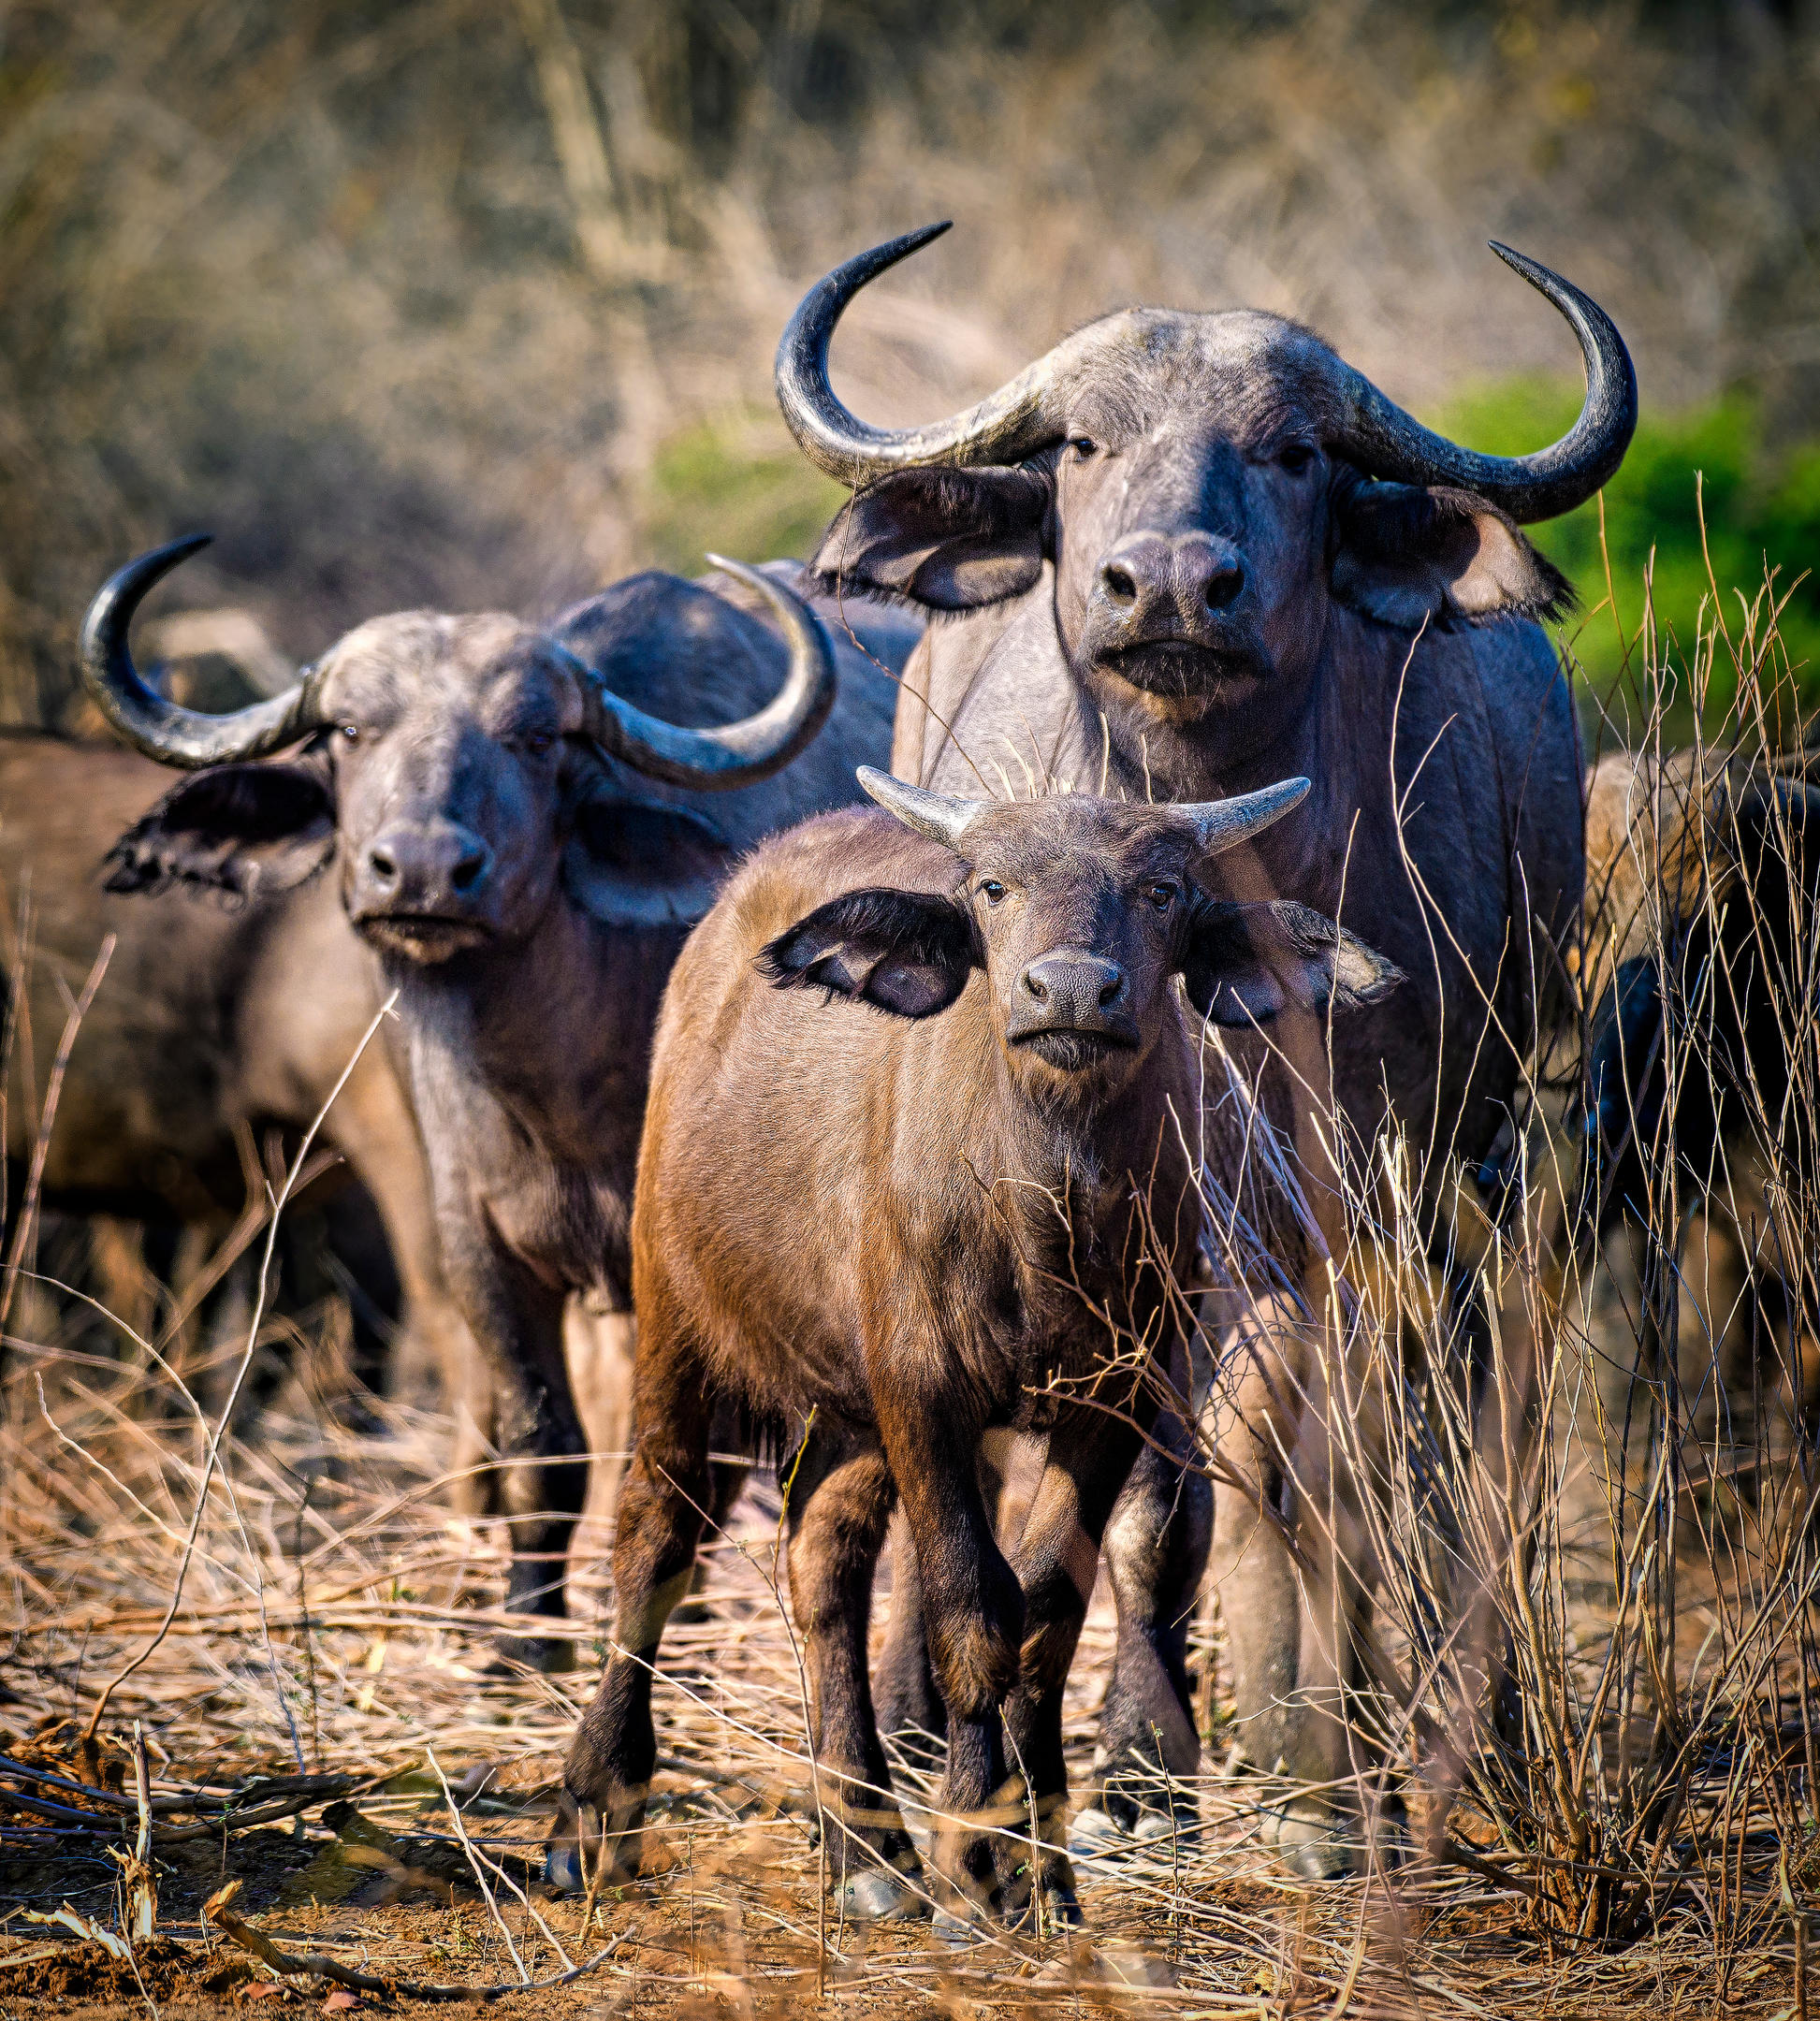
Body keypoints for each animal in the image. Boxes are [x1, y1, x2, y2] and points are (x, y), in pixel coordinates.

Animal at [80, 540, 910, 1663]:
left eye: (532, 737)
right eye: (350, 730)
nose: (424, 870)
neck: (562, 1081)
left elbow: (687, 1466)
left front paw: (672, 1640)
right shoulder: (473, 1237)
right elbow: (542, 1441)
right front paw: (526, 1630)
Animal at [551, 768, 1396, 1922]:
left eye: (1162, 889)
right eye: (994, 887)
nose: (1070, 991)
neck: (1044, 1217)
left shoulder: (1112, 1401)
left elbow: (1043, 1610)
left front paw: (1034, 1864)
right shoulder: (924, 1391)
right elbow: (968, 1603)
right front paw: (978, 1857)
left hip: (846, 1400)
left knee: (822, 1554)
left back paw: (865, 1850)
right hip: (674, 1312)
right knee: (657, 1530)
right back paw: (592, 1813)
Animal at [774, 225, 1633, 1868]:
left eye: (1293, 452)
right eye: (1082, 444)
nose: (1168, 581)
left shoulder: (1360, 1181)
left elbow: (1320, 1454)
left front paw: (1317, 1764)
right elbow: (1152, 1487)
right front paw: (1139, 1760)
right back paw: (931, 1717)